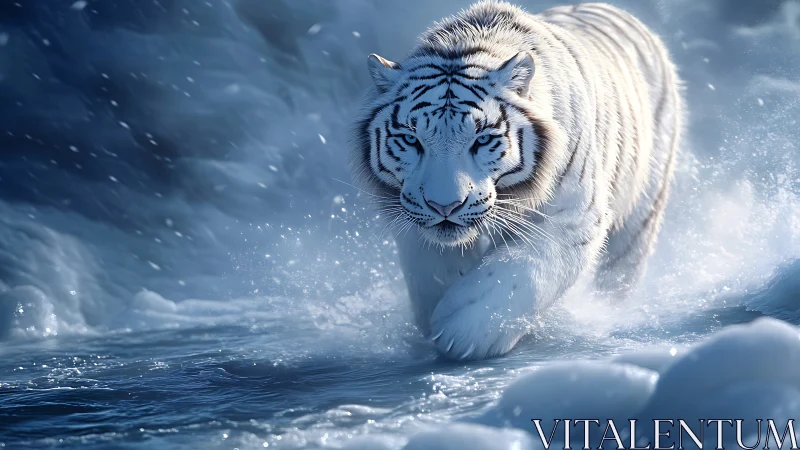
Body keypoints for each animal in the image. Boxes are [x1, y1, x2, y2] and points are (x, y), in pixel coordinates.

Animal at [350, 1, 684, 360]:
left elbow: (521, 273)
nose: (445, 206)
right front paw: (437, 316)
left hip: (640, 215)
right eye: (412, 140)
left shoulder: (573, 216)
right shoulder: (412, 215)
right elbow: (432, 270)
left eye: (482, 139)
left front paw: (463, 329)